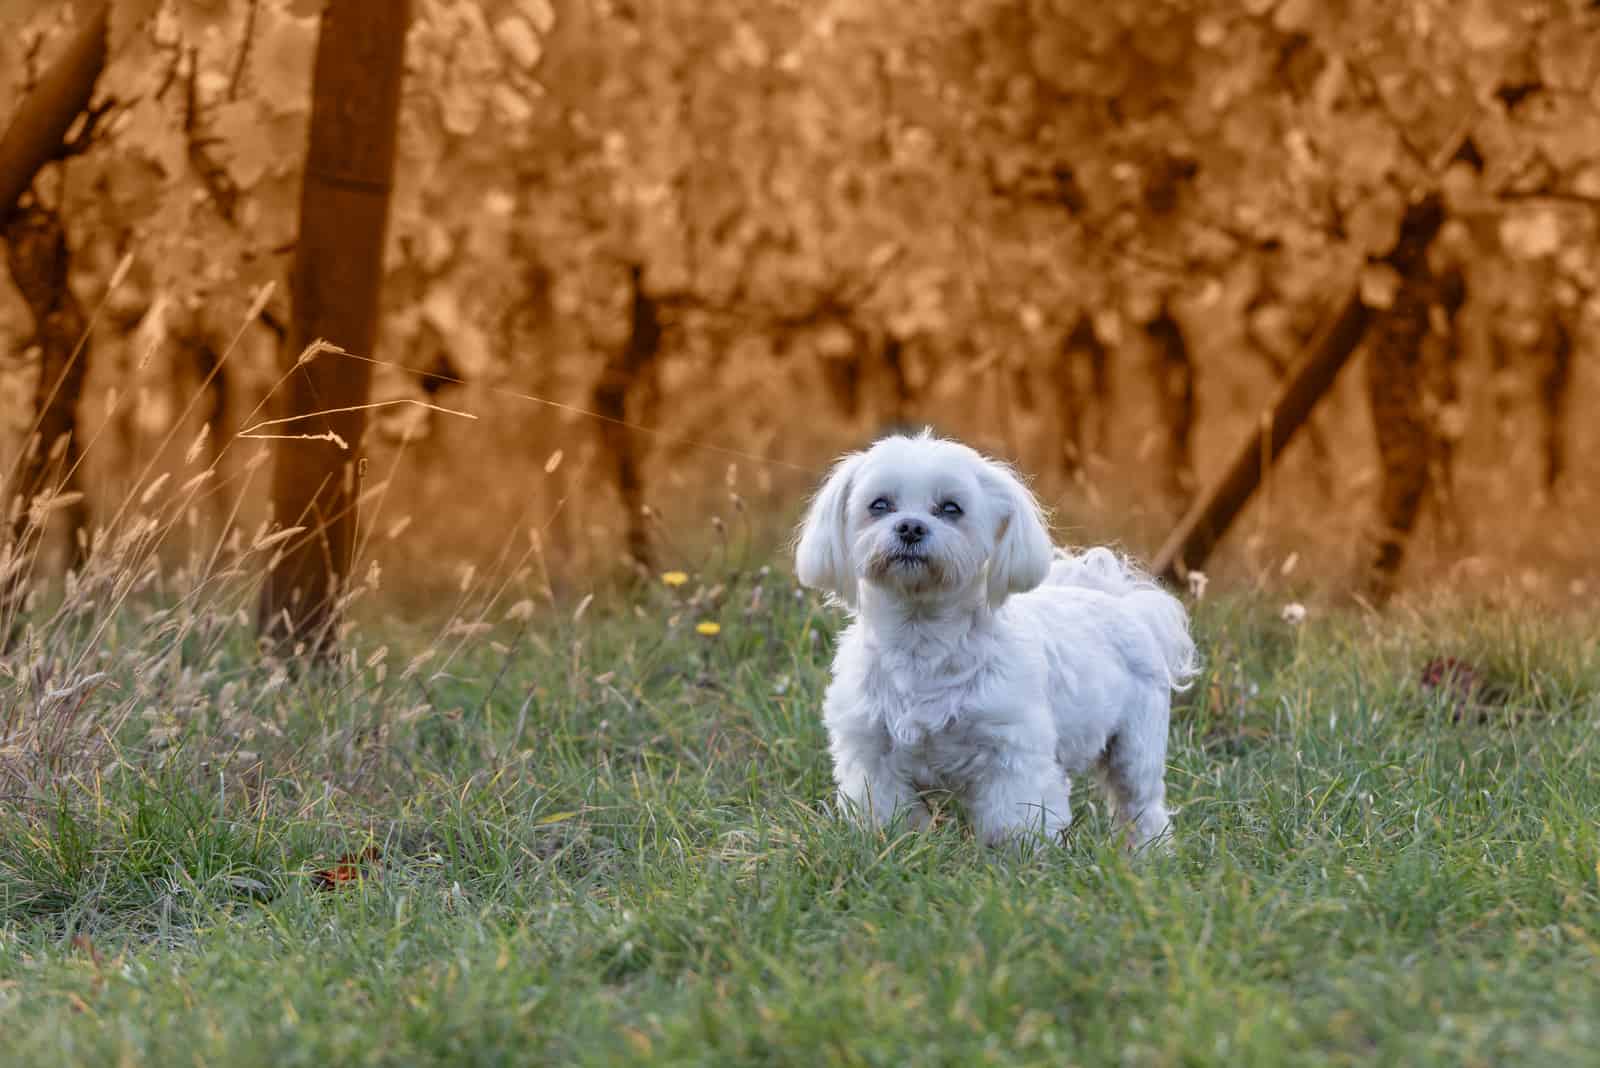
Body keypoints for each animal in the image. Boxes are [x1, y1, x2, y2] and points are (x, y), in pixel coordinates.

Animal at [793, 431, 1196, 850]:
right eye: (879, 505)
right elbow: (888, 816)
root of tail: (1123, 601)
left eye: (951, 508)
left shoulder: (1012, 754)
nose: (910, 527)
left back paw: (1147, 852)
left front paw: (1017, 859)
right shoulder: (872, 754)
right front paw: (892, 845)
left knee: (1141, 805)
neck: (921, 639)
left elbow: (1014, 822)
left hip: (1136, 744)